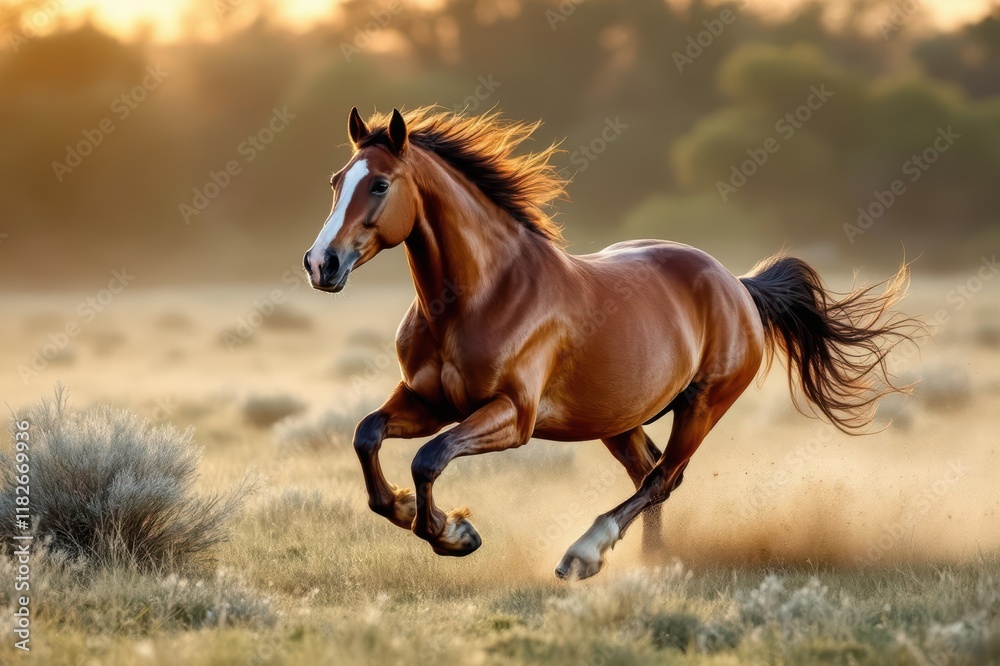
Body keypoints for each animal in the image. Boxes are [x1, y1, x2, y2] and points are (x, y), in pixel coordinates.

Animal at [302, 106, 917, 579]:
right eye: (334, 181)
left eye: (380, 184)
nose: (320, 263)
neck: (478, 296)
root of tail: (737, 285)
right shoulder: (428, 401)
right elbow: (368, 437)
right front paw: (418, 515)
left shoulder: (512, 415)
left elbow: (429, 458)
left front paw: (453, 534)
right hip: (619, 419)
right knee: (648, 472)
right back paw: (649, 562)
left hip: (702, 405)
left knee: (662, 478)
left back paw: (583, 554)